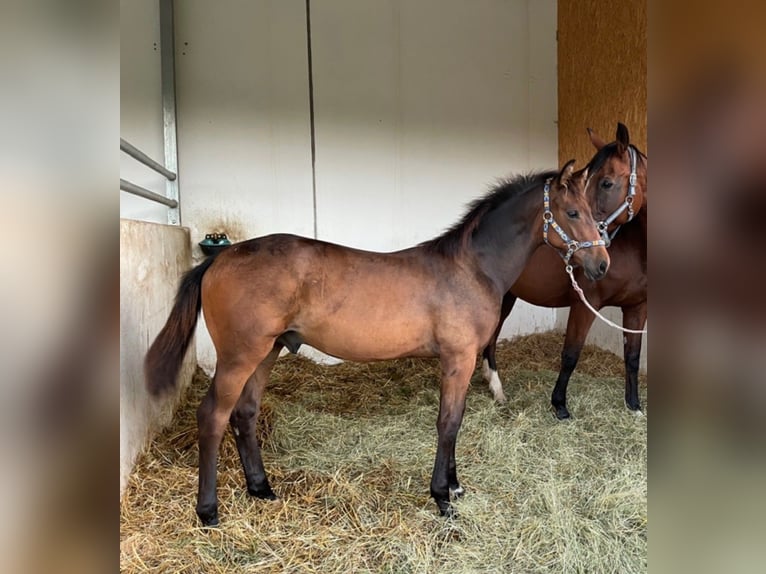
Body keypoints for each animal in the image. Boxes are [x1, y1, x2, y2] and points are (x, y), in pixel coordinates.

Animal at [146, 161, 612, 528]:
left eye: (593, 211)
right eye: (572, 212)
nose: (601, 264)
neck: (471, 267)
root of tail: (217, 260)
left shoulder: (461, 362)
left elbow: (456, 421)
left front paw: (454, 487)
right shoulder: (458, 359)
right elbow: (448, 423)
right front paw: (442, 497)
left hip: (267, 353)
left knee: (244, 413)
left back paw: (262, 488)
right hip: (239, 357)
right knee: (213, 416)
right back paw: (208, 511)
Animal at [486, 124, 648, 420]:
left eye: (606, 183)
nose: (596, 246)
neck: (634, 245)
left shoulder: (637, 307)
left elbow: (632, 357)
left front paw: (634, 406)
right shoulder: (586, 304)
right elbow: (571, 354)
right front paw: (560, 405)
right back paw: (497, 389)